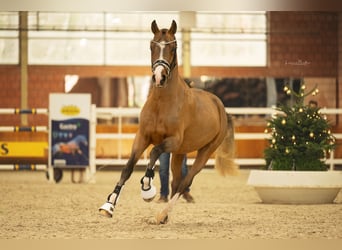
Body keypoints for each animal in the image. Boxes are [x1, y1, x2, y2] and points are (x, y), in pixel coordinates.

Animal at [99, 19, 238, 223]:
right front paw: (108, 205)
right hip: (180, 153)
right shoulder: (142, 137)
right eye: (152, 46)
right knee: (176, 181)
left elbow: (154, 152)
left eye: (173, 47)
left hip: (205, 151)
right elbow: (128, 168)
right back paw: (164, 216)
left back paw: (161, 214)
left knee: (185, 182)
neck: (161, 103)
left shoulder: (172, 141)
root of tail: (220, 107)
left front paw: (147, 187)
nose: (159, 77)